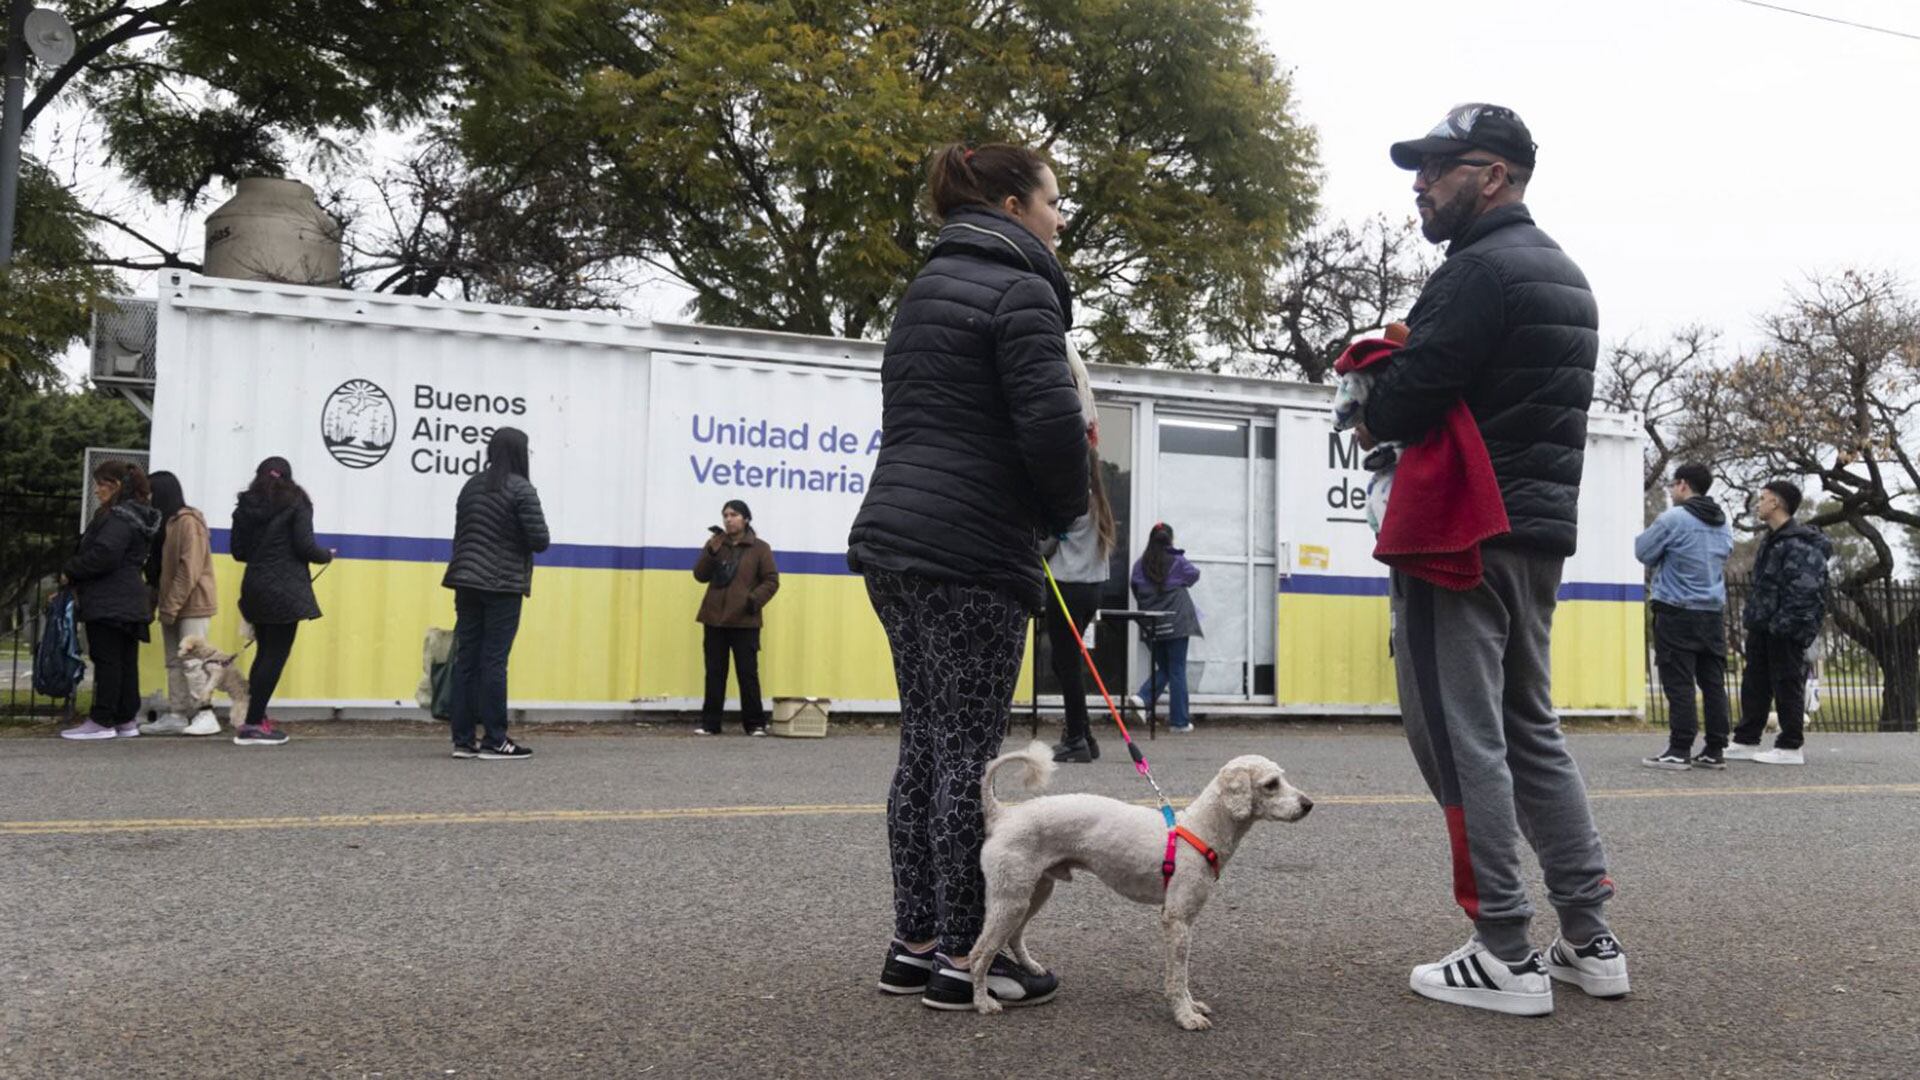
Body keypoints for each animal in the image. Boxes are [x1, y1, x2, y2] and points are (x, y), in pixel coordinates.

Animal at [967, 737, 1313, 1022]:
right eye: (1271, 784)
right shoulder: (1176, 920)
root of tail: (1002, 814)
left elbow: (1181, 974)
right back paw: (982, 1002)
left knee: (1013, 937)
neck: (1199, 830)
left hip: (1035, 892)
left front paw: (1191, 1006)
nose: (1308, 805)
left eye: (1282, 778)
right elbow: (1177, 977)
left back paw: (1031, 968)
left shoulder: (1184, 923)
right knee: (978, 954)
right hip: (1010, 899)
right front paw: (1185, 1017)